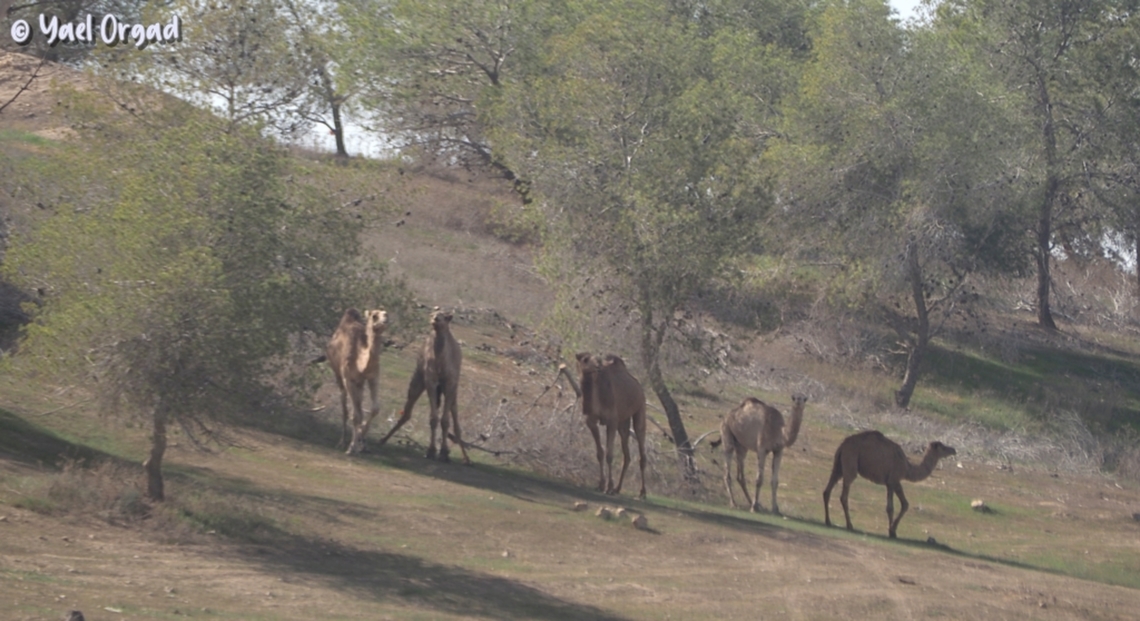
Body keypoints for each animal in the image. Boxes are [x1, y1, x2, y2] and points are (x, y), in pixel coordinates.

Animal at [325, 308, 388, 455]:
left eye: (386, 313)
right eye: (374, 316)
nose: (385, 320)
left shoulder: (373, 377)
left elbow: (375, 409)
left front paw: (361, 439)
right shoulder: (349, 379)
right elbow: (356, 415)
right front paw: (351, 447)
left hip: (360, 383)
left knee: (359, 405)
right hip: (339, 375)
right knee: (345, 406)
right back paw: (342, 442)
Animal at [377, 308, 470, 464]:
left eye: (446, 317)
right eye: (432, 314)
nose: (435, 319)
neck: (441, 362)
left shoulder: (450, 383)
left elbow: (446, 420)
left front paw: (444, 453)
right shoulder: (430, 381)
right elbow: (434, 418)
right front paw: (431, 451)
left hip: (452, 390)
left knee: (456, 420)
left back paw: (466, 459)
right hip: (418, 380)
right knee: (407, 412)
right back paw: (383, 440)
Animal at [576, 352, 648, 499]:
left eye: (598, 360)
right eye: (585, 359)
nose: (597, 367)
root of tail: (638, 385)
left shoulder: (612, 421)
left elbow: (609, 455)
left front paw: (608, 487)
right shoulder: (591, 421)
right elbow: (600, 452)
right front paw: (601, 485)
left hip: (640, 409)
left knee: (641, 446)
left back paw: (642, 492)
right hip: (623, 422)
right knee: (627, 455)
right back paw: (618, 488)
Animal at [822, 430, 957, 539]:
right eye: (943, 447)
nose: (954, 450)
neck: (908, 469)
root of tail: (843, 445)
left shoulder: (892, 483)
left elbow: (903, 505)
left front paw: (892, 530)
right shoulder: (894, 480)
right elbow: (893, 507)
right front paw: (892, 532)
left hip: (839, 465)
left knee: (827, 490)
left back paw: (828, 521)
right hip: (850, 462)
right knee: (844, 495)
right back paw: (850, 525)